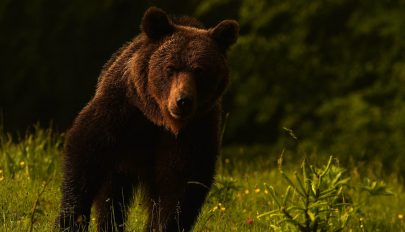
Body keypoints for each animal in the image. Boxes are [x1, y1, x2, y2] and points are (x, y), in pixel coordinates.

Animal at [53, 6, 237, 231]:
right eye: (170, 67)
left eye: (200, 71)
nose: (183, 101)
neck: (159, 118)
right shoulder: (121, 110)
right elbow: (85, 152)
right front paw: (70, 220)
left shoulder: (194, 132)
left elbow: (180, 185)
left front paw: (164, 225)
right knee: (112, 195)